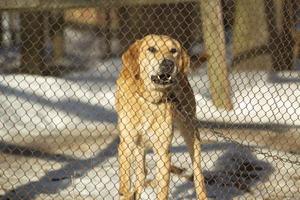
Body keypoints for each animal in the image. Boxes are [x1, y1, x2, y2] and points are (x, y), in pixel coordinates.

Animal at [114, 35, 206, 199]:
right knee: (141, 173)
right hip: (138, 146)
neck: (150, 99)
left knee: (198, 173)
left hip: (190, 132)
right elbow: (125, 185)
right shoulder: (126, 144)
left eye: (173, 50)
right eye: (152, 49)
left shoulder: (163, 151)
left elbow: (162, 191)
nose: (168, 63)